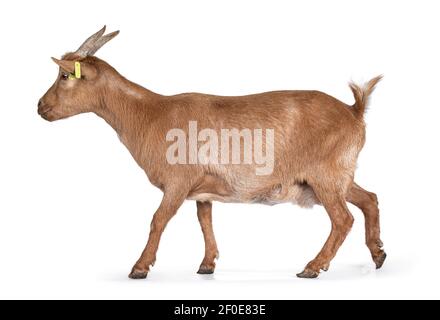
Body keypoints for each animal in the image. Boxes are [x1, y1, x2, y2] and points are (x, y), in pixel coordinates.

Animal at [39, 26, 386, 278]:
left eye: (65, 75)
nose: (40, 107)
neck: (149, 113)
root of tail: (354, 111)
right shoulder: (202, 188)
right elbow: (204, 218)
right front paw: (207, 264)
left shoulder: (177, 182)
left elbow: (158, 219)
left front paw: (139, 267)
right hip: (338, 176)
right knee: (369, 199)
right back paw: (378, 254)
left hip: (324, 175)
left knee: (342, 218)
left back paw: (312, 267)